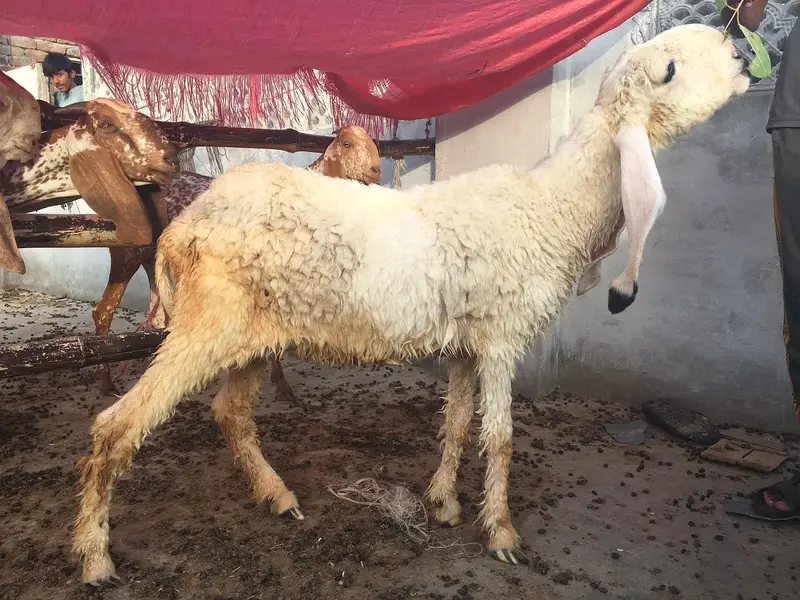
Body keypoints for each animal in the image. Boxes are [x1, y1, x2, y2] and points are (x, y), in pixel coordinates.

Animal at [101, 125, 383, 396]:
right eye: (347, 143)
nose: (376, 171)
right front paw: (281, 385)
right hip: (126, 255)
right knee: (103, 313)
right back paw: (109, 384)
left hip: (153, 261)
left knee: (159, 316)